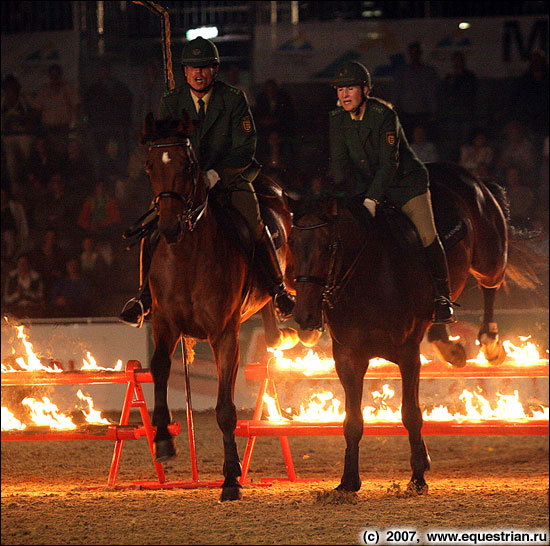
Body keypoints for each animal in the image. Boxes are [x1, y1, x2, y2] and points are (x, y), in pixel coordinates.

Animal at [140, 112, 320, 500]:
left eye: (188, 165)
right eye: (150, 166)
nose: (168, 225)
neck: (186, 256)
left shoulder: (225, 335)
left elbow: (225, 409)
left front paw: (231, 478)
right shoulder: (164, 324)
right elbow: (159, 368)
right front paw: (162, 440)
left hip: (290, 271)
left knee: (298, 296)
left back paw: (304, 331)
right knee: (270, 315)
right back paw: (279, 336)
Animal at [288, 163, 536, 492]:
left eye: (328, 246)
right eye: (291, 244)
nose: (304, 316)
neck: (367, 278)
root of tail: (469, 176)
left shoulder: (407, 355)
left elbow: (411, 414)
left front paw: (418, 475)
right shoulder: (347, 358)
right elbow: (352, 421)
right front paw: (348, 481)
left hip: (490, 259)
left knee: (490, 286)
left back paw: (491, 342)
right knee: (443, 310)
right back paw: (450, 348)